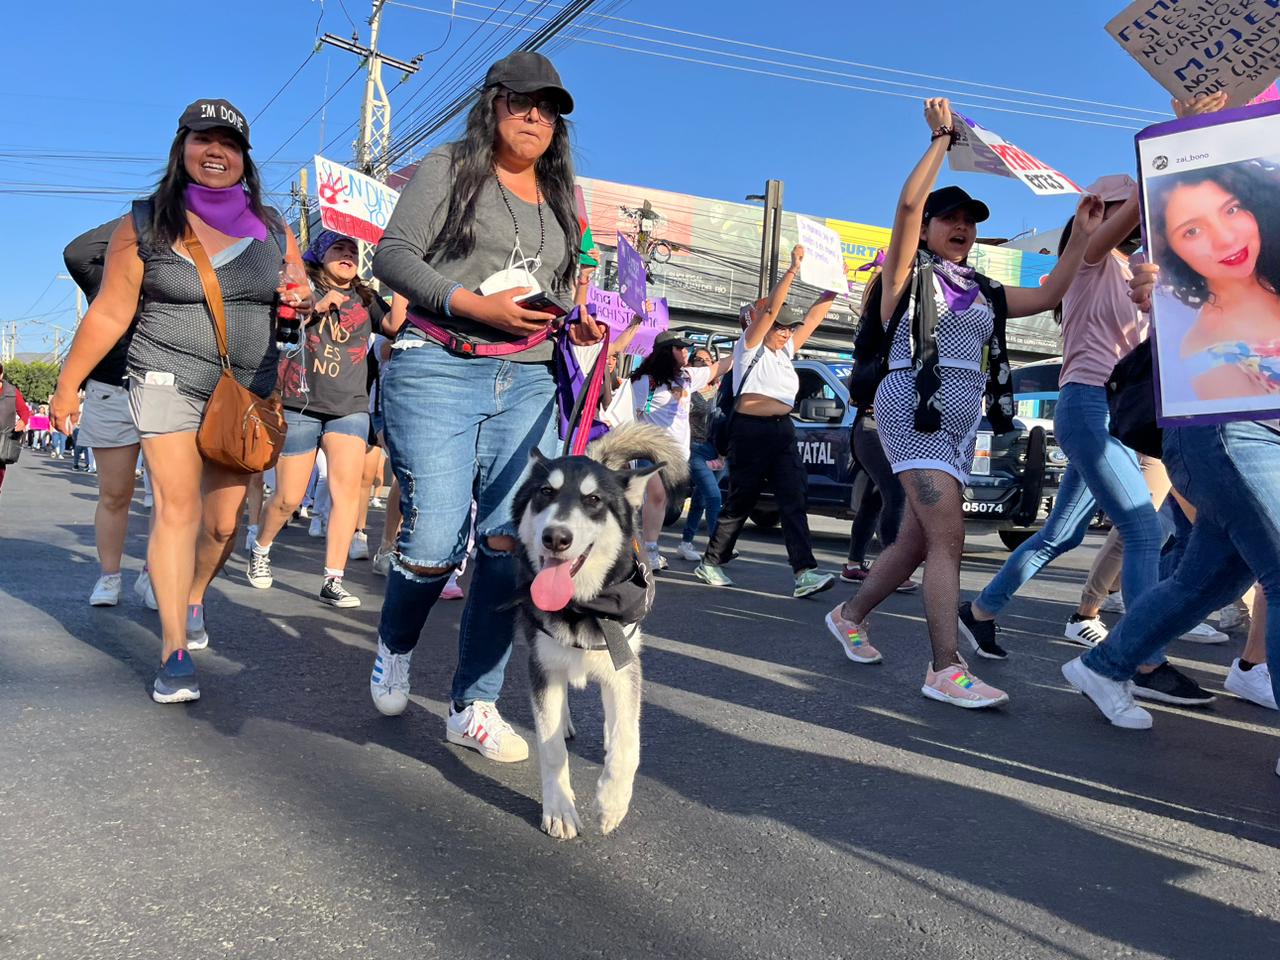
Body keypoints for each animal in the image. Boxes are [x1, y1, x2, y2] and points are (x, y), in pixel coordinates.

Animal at [512, 424, 691, 839]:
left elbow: (628, 743)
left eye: (593, 499)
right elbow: (550, 748)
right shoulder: (543, 664)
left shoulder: (625, 667)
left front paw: (612, 802)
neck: (582, 605)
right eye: (545, 493)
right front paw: (559, 809)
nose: (556, 537)